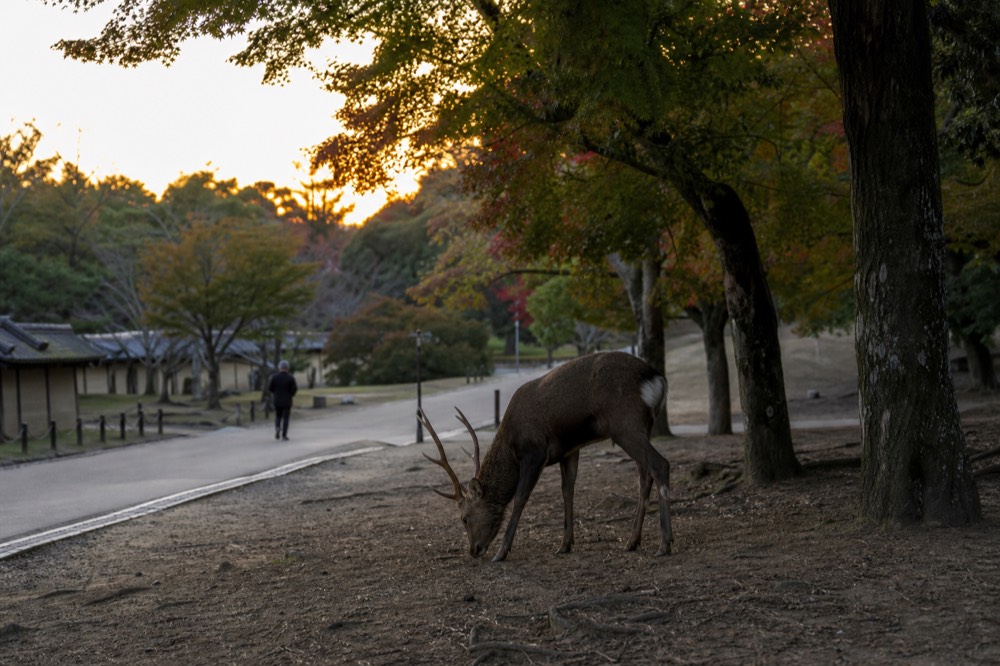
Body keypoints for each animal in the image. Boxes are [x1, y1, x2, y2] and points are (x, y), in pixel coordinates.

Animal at [419, 351, 672, 562]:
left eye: (464, 518)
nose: (474, 550)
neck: (510, 442)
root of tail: (657, 378)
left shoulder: (534, 452)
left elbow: (521, 497)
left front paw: (501, 552)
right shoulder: (569, 451)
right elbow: (567, 490)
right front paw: (565, 545)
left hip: (624, 424)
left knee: (660, 465)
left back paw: (664, 544)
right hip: (643, 426)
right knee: (644, 476)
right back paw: (632, 542)